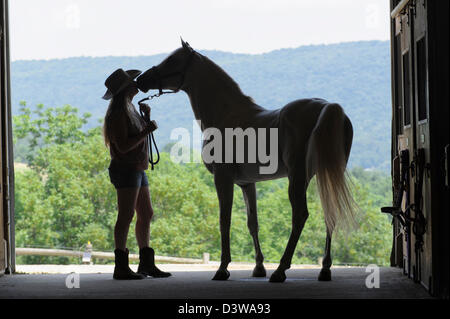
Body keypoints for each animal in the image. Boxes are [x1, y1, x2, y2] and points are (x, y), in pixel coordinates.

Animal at [136, 39, 356, 282]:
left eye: (172, 60)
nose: (140, 80)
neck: (226, 115)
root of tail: (326, 107)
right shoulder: (247, 183)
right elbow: (253, 223)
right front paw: (258, 267)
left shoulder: (223, 178)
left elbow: (225, 220)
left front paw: (223, 268)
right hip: (322, 176)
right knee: (329, 214)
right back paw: (324, 269)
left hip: (298, 178)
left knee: (300, 216)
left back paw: (281, 270)